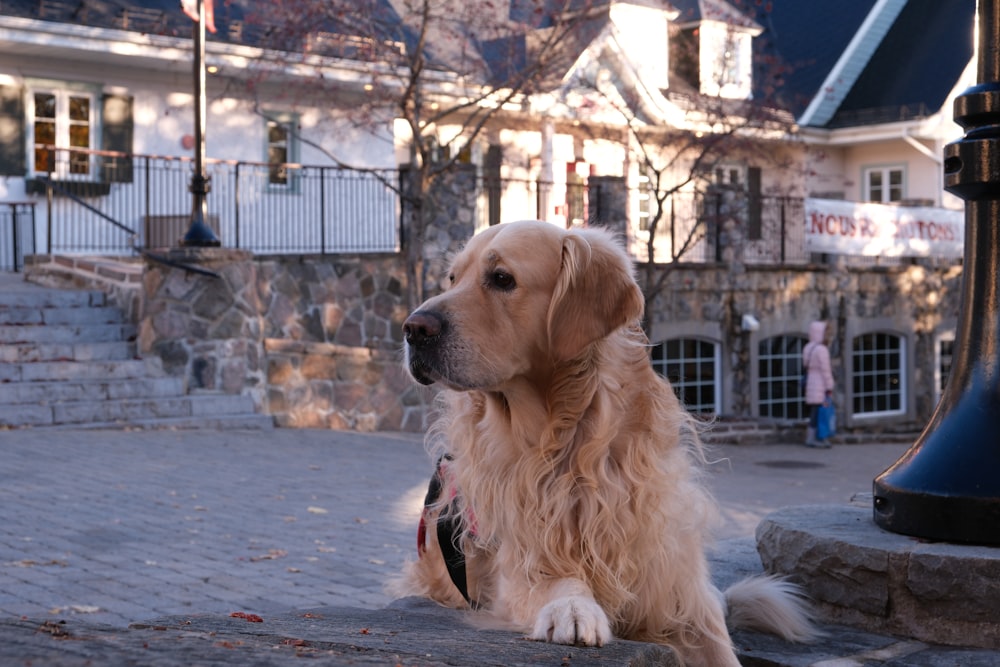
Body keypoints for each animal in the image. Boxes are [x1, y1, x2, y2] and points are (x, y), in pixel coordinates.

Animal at [390, 222, 812, 664]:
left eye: (502, 278)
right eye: (453, 278)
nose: (412, 328)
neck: (568, 440)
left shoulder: (680, 590)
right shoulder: (517, 559)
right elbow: (554, 580)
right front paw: (573, 607)